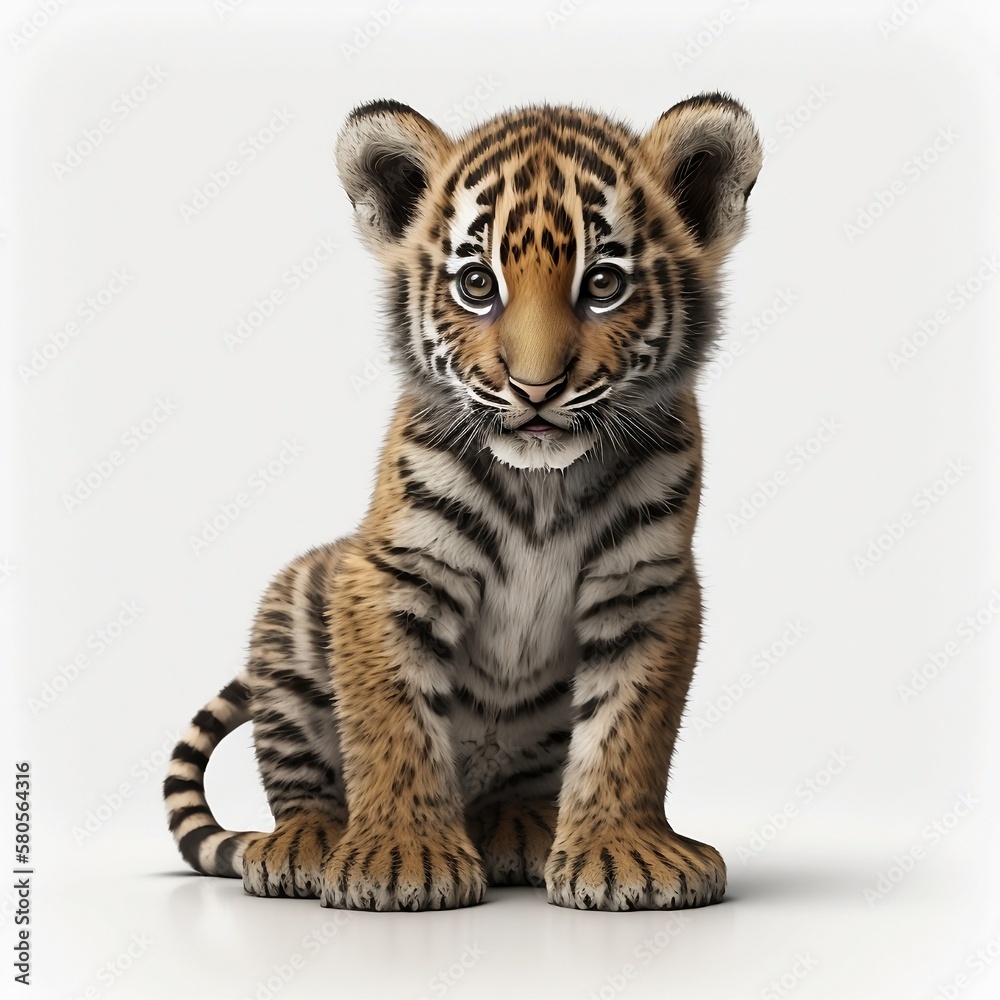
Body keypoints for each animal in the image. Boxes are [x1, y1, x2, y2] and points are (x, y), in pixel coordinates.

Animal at [163, 93, 763, 912]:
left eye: (603, 284)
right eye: (477, 285)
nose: (535, 389)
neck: (544, 483)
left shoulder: (647, 584)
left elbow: (628, 728)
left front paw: (623, 853)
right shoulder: (389, 574)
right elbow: (391, 718)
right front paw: (397, 857)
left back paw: (522, 827)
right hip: (293, 615)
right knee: (299, 779)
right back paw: (304, 845)